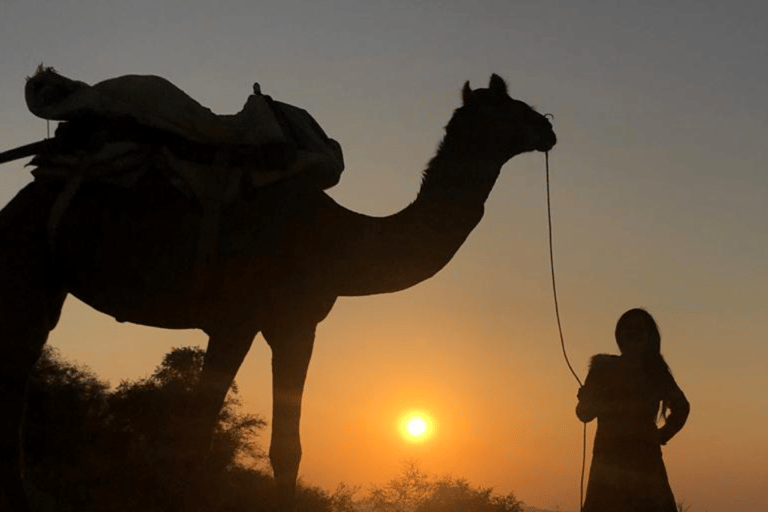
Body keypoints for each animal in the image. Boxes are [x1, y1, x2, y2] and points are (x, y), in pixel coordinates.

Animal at [0, 74, 556, 510]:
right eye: (511, 107)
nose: (548, 128)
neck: (340, 239)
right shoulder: (263, 320)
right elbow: (235, 439)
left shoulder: (270, 323)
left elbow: (253, 442)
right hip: (27, 263)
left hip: (48, 285)